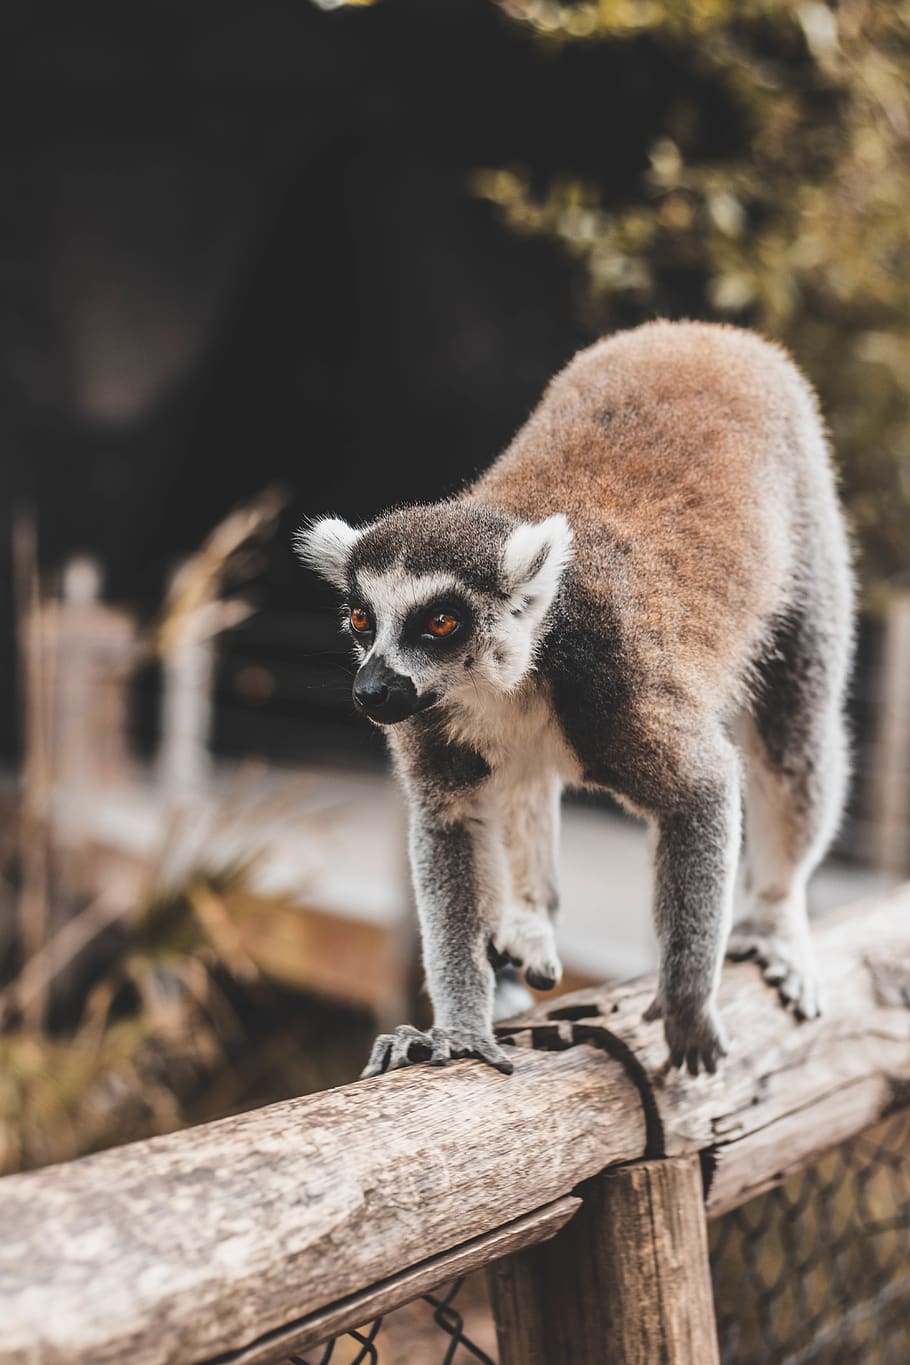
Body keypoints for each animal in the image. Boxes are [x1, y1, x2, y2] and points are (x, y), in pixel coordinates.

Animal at [296, 320, 854, 1078]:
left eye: (439, 622)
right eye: (360, 619)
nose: (373, 690)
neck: (513, 679)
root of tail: (702, 333)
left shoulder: (620, 685)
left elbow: (704, 789)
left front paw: (686, 1005)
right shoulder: (433, 722)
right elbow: (450, 827)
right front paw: (458, 1029)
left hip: (809, 534)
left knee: (792, 728)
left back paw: (773, 917)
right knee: (522, 777)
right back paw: (530, 922)